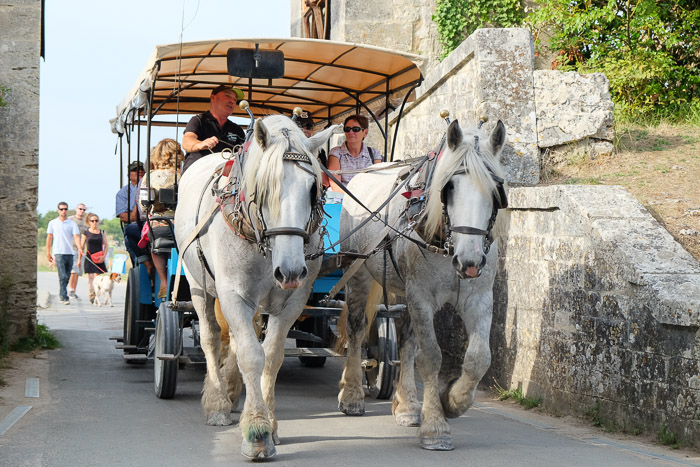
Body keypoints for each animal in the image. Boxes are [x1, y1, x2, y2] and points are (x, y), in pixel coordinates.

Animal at [175, 114, 340, 460]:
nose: (291, 270)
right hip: (198, 285)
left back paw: (232, 389)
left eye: (313, 188)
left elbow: (272, 356)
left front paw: (270, 422)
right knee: (211, 338)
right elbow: (252, 356)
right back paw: (218, 401)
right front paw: (257, 432)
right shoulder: (233, 296)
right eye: (266, 189)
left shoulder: (293, 301)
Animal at [336, 119, 506, 450]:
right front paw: (436, 427)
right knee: (357, 329)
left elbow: (479, 358)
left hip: (403, 290)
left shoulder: (478, 298)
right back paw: (351, 395)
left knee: (405, 341)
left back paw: (407, 405)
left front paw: (452, 401)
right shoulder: (422, 297)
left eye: (495, 191)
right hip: (359, 273)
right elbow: (430, 357)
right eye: (449, 187)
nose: (470, 261)